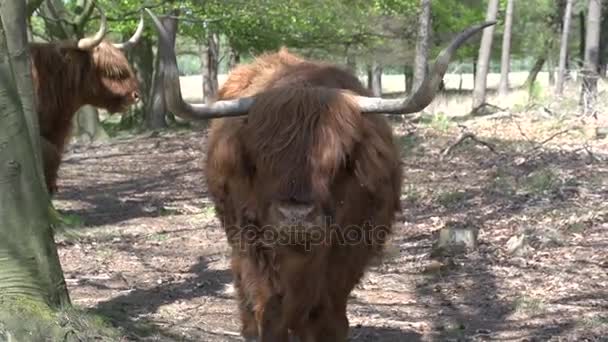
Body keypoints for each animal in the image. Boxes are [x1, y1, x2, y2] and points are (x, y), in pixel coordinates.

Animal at [147, 8, 494, 342]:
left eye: (340, 157)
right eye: (260, 154)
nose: (295, 216)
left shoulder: (348, 256)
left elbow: (328, 319)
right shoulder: (255, 249)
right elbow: (268, 312)